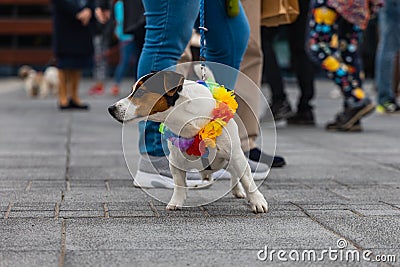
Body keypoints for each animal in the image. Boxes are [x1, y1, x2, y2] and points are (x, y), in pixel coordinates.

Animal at [108, 70, 268, 214]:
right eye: (131, 91)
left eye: (140, 92)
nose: (111, 109)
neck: (186, 119)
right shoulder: (175, 160)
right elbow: (179, 184)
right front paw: (176, 202)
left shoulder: (235, 156)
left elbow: (247, 180)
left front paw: (257, 201)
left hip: (231, 159)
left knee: (237, 174)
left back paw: (238, 190)